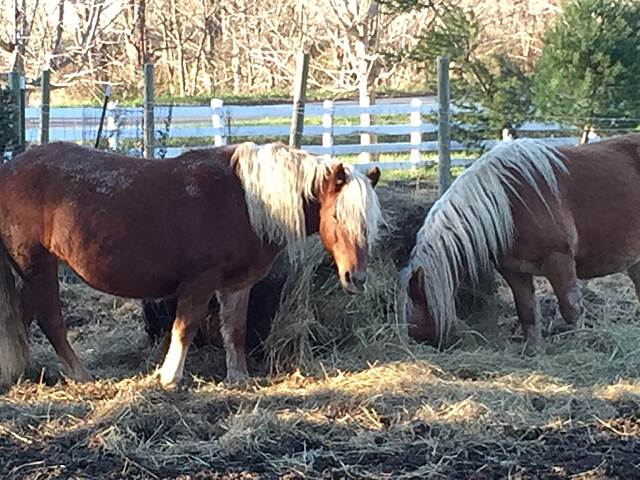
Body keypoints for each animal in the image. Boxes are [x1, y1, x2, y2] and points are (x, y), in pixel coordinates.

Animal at [0, 141, 382, 388]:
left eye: (370, 222)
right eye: (337, 215)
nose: (356, 278)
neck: (248, 201)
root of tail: (9, 171)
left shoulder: (236, 284)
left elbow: (235, 330)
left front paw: (238, 378)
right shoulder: (200, 283)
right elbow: (185, 327)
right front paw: (169, 378)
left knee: (25, 315)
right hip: (37, 265)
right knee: (49, 319)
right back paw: (79, 375)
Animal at [402, 133, 640, 346]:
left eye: (416, 307)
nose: (418, 340)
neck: (508, 205)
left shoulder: (559, 261)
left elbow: (571, 311)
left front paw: (579, 346)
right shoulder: (514, 271)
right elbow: (527, 314)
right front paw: (533, 352)